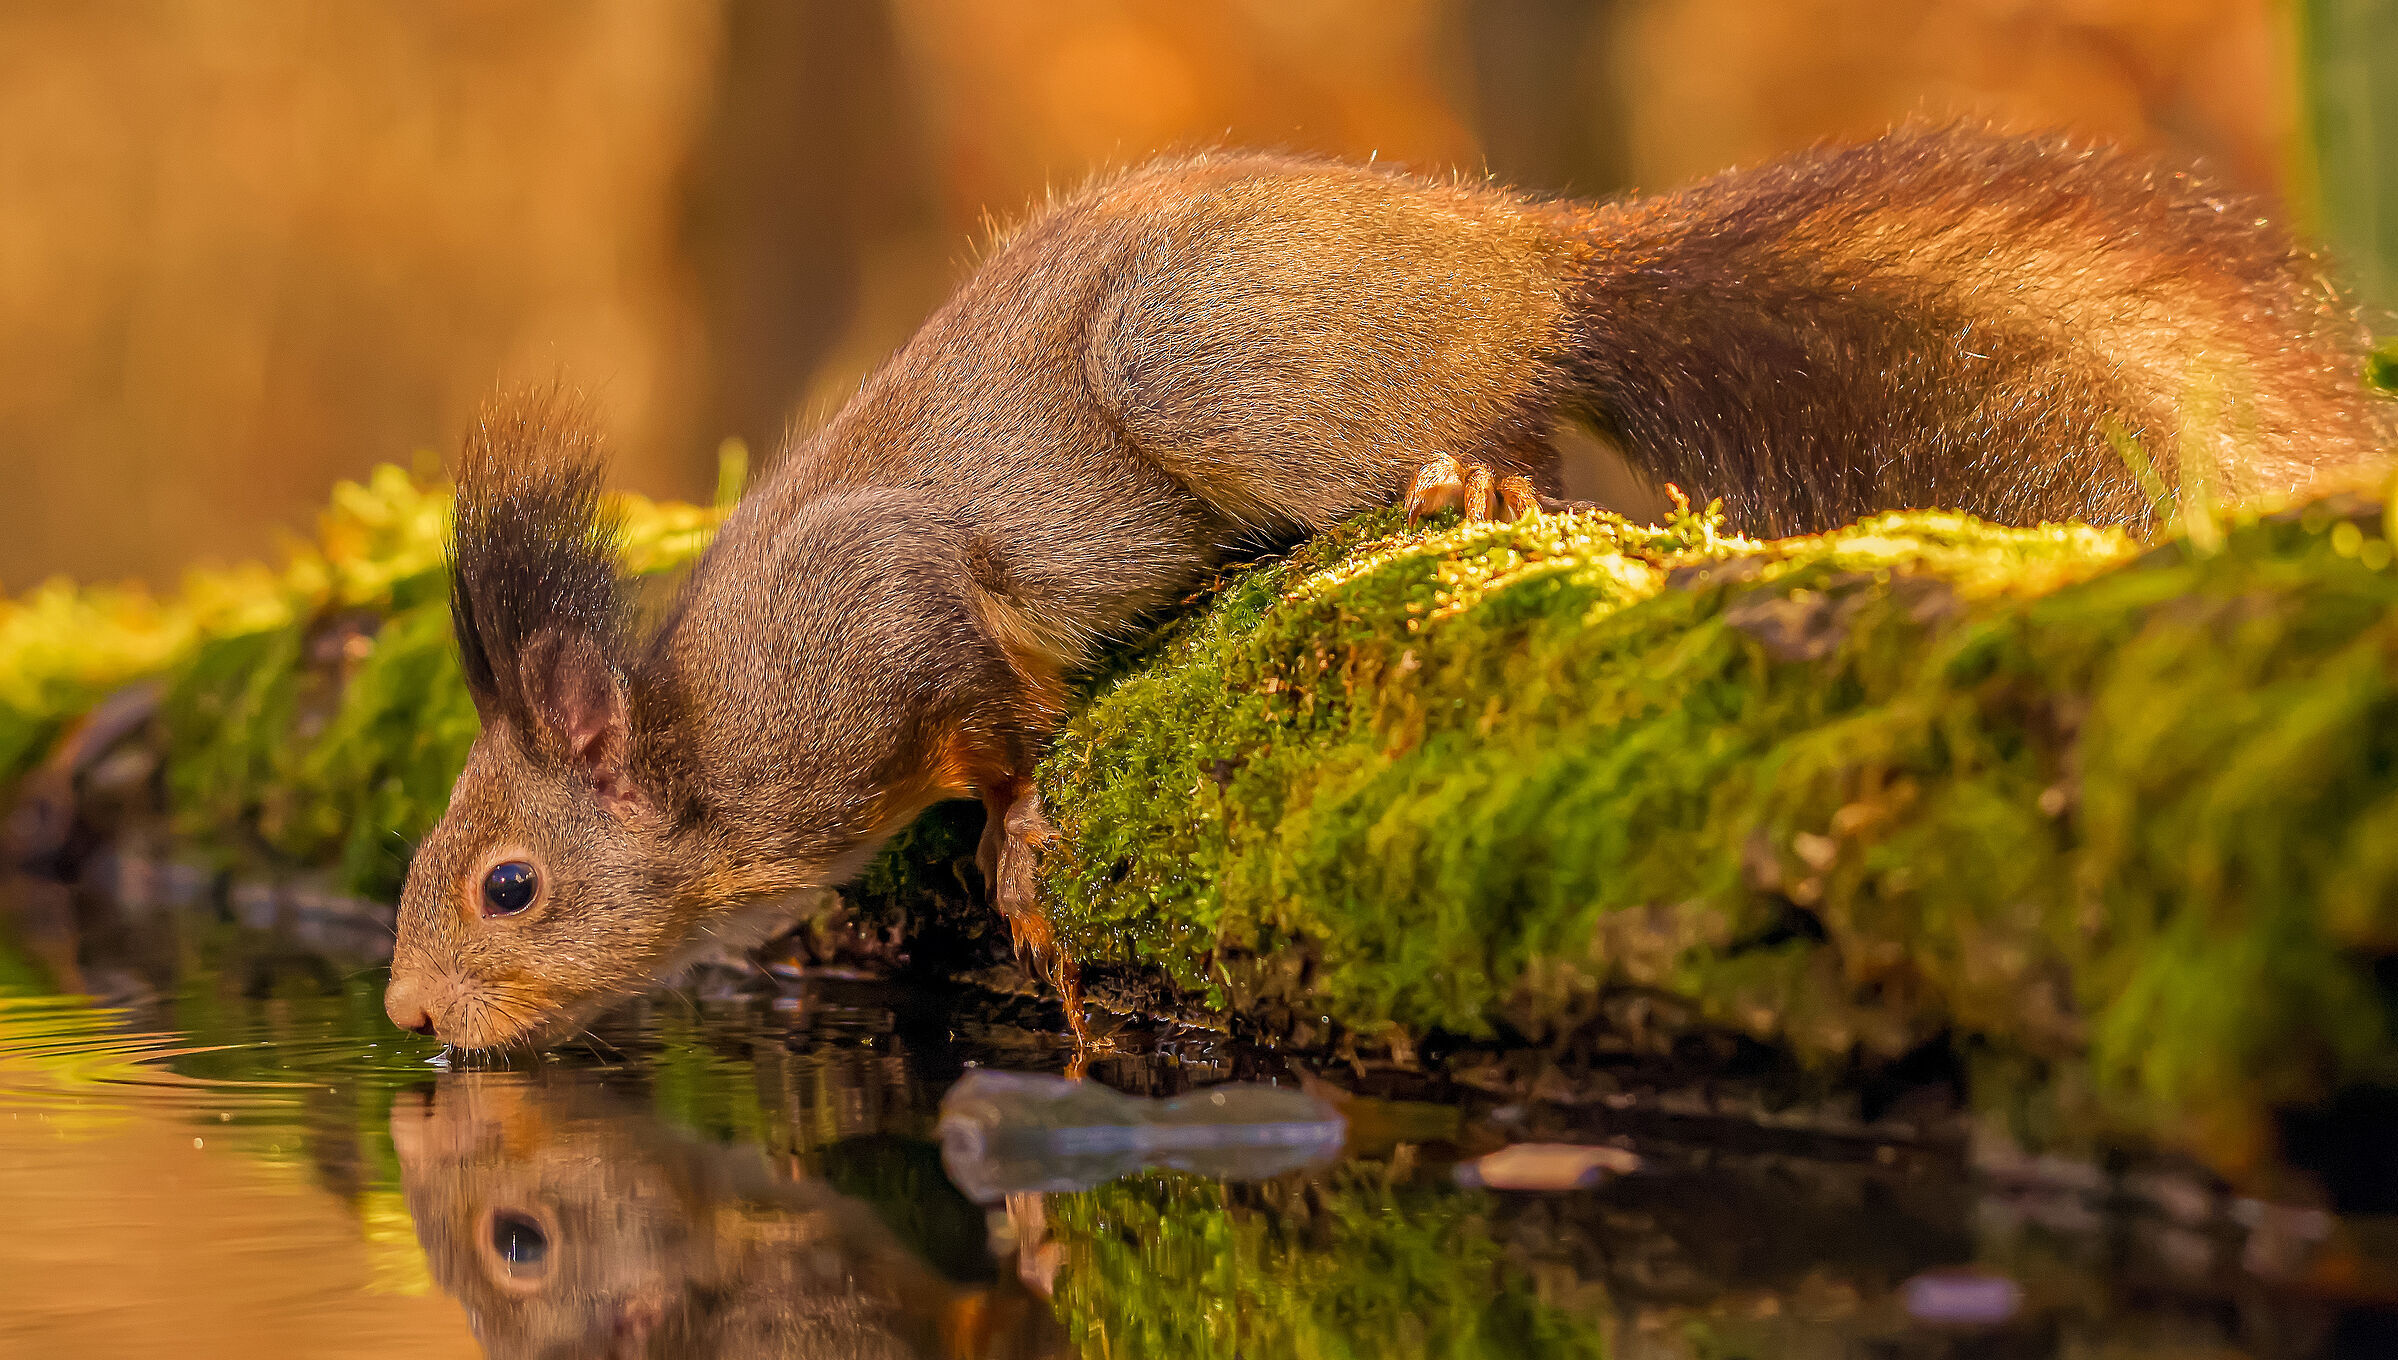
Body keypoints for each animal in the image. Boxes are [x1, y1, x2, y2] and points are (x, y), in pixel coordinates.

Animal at [383, 125, 2388, 1055]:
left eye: (507, 886)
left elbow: (994, 700)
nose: (405, 1020)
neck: (703, 762)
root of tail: (1528, 261)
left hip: (1206, 369)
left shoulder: (868, 610)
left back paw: (1467, 481)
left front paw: (1016, 843)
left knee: (1489, 436)